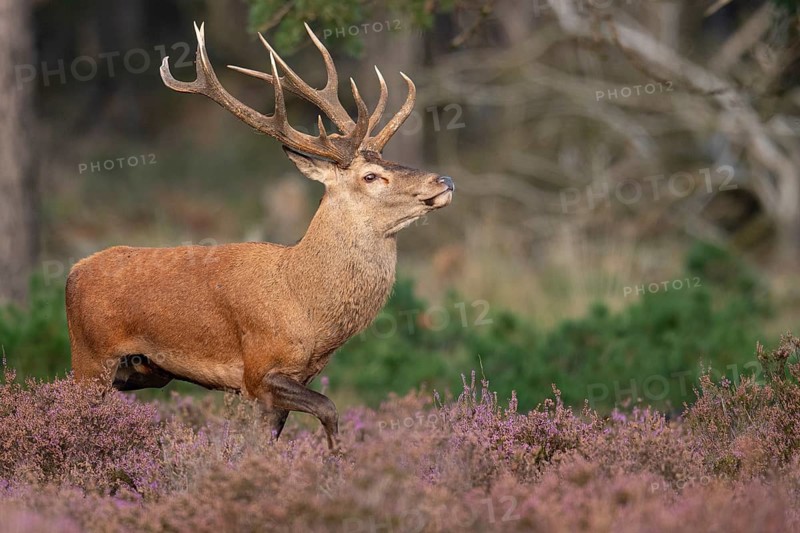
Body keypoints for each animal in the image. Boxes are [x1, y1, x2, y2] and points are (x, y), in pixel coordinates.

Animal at [66, 22, 454, 449]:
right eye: (370, 176)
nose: (444, 180)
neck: (308, 309)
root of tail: (72, 273)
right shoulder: (258, 368)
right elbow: (330, 409)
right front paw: (336, 458)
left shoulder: (295, 377)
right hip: (90, 356)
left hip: (142, 370)